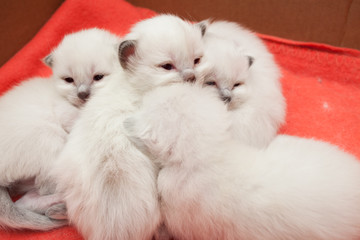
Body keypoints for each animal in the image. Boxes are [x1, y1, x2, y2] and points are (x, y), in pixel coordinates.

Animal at [0, 28, 121, 231]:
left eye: (98, 77)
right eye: (69, 80)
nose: (82, 94)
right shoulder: (67, 116)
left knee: (27, 200)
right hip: (51, 141)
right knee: (47, 186)